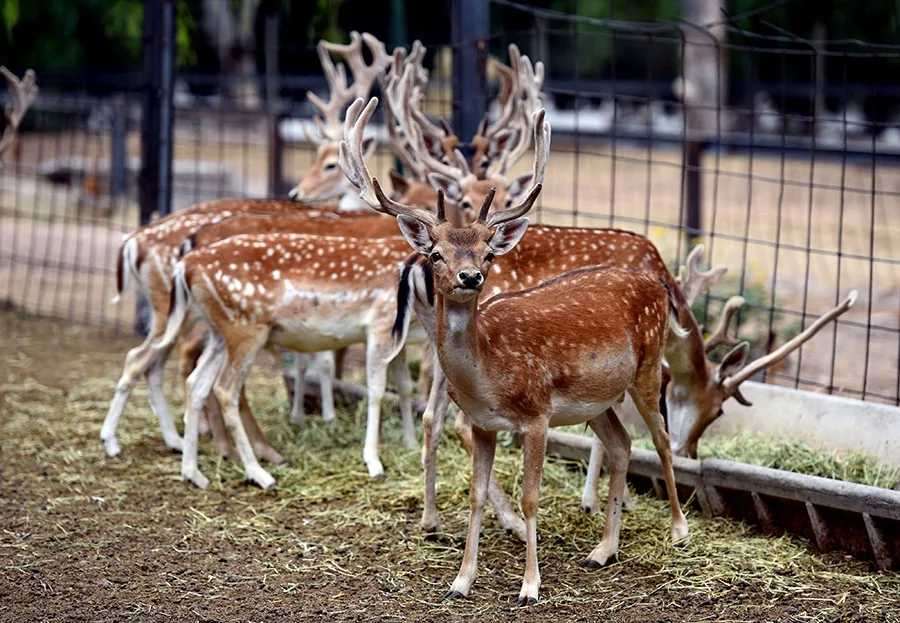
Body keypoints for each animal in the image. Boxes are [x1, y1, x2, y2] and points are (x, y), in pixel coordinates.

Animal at [344, 98, 688, 608]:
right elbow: (474, 495)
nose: (470, 277)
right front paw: (461, 581)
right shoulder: (483, 424)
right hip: (598, 398)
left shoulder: (538, 414)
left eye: (488, 253)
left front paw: (529, 586)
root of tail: (656, 283)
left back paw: (679, 530)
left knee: (662, 438)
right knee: (623, 444)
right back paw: (602, 550)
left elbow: (530, 498)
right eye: (437, 254)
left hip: (647, 368)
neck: (489, 374)